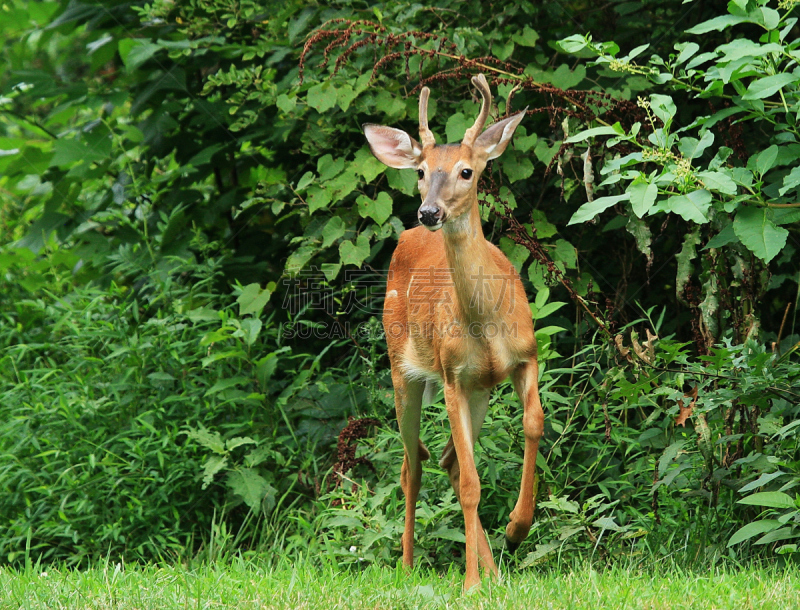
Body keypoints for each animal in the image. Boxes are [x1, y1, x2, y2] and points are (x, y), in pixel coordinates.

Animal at [362, 72, 544, 588]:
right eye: (422, 171)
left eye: (466, 171)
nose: (429, 212)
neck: (486, 325)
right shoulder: (450, 377)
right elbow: (470, 483)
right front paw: (470, 583)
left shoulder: (525, 356)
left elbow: (533, 424)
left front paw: (517, 528)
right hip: (404, 372)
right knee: (413, 466)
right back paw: (408, 566)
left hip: (479, 390)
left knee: (444, 460)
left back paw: (496, 571)